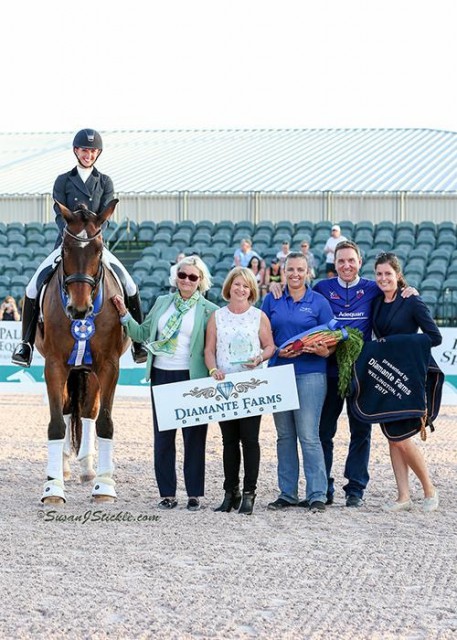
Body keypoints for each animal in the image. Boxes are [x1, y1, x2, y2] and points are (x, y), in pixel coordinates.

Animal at [35, 200, 128, 504]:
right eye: (65, 249)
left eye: (98, 249)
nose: (79, 309)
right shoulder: (54, 365)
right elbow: (56, 424)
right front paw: (52, 488)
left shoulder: (109, 366)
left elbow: (105, 423)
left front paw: (105, 487)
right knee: (67, 409)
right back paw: (63, 465)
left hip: (90, 372)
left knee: (88, 411)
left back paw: (88, 469)